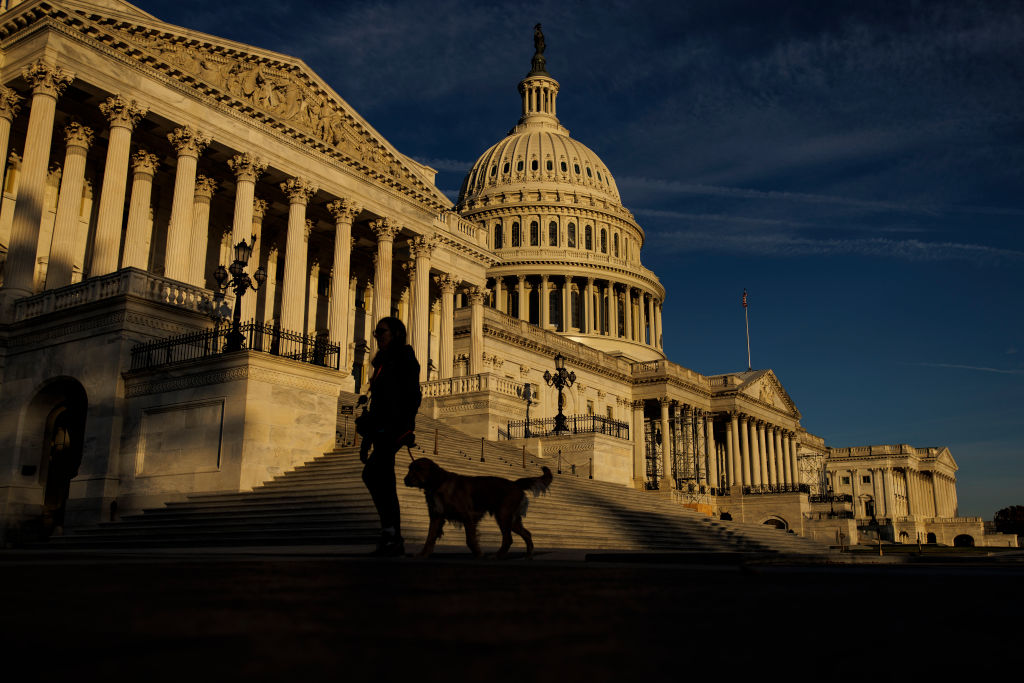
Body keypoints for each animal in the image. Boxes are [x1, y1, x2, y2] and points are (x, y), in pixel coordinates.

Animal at [403, 456, 557, 557]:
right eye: (409, 469)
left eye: (418, 469)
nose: (405, 480)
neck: (438, 484)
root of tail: (515, 483)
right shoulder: (436, 517)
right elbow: (429, 538)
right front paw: (423, 554)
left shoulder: (468, 516)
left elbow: (470, 540)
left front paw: (479, 554)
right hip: (512, 520)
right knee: (526, 534)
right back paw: (528, 555)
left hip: (503, 515)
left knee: (508, 539)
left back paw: (497, 556)